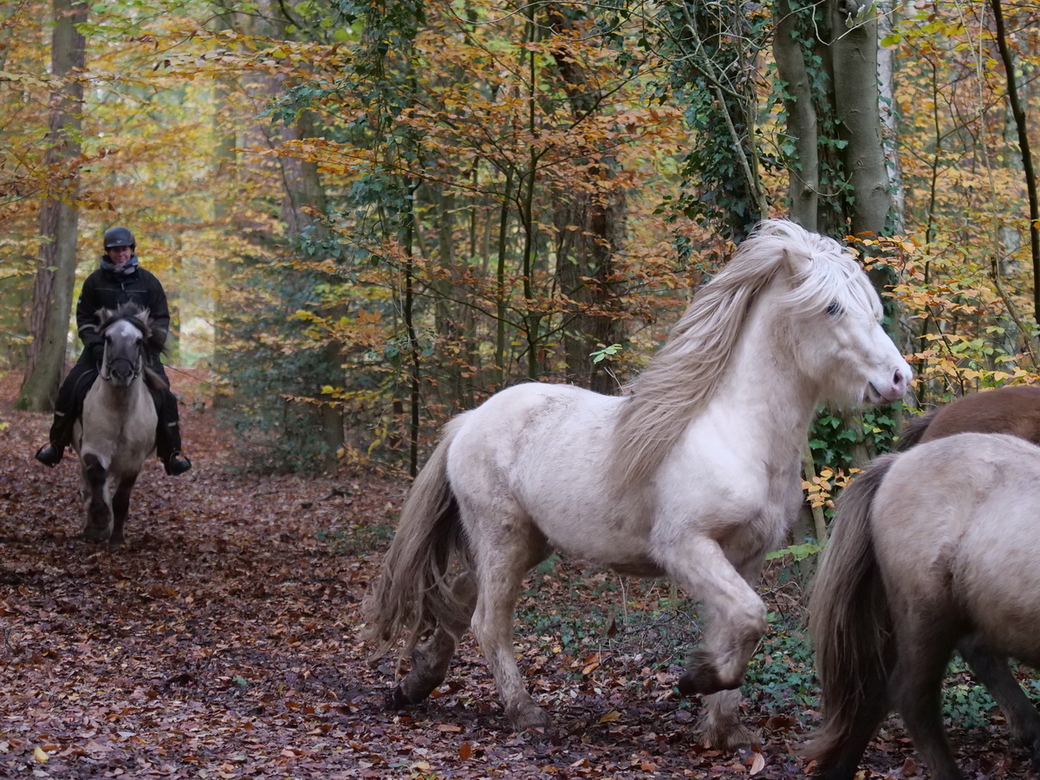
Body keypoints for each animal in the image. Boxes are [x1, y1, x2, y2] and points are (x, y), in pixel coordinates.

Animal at [74, 303, 163, 544]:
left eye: (138, 340)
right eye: (108, 338)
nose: (121, 374)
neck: (121, 410)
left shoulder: (133, 461)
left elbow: (121, 499)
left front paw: (117, 539)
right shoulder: (93, 449)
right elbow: (97, 481)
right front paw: (100, 522)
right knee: (90, 485)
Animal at [364, 218, 911, 752]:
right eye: (833, 306)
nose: (899, 378)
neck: (736, 435)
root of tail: (469, 421)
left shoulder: (745, 557)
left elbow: (738, 627)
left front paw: (725, 730)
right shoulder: (686, 547)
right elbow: (752, 619)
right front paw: (697, 680)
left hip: (527, 544)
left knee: (458, 599)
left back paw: (416, 684)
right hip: (503, 539)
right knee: (488, 621)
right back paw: (525, 713)